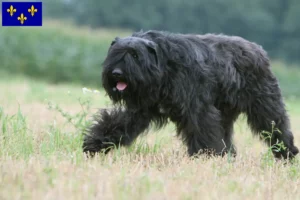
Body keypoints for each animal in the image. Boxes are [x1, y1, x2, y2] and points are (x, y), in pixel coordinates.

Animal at [82, 30, 298, 159]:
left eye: (135, 55)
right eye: (115, 53)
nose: (116, 73)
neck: (165, 66)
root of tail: (258, 50)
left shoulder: (197, 109)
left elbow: (201, 129)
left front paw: (205, 156)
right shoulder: (140, 108)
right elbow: (118, 122)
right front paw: (94, 143)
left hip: (264, 105)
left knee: (276, 126)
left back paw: (287, 153)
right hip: (226, 113)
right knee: (226, 135)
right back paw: (227, 156)